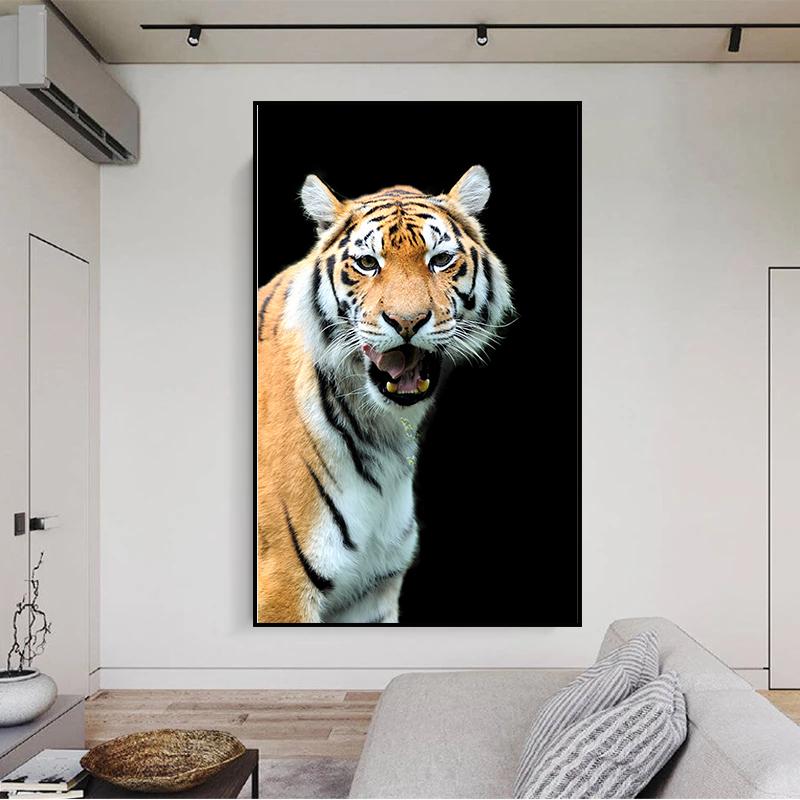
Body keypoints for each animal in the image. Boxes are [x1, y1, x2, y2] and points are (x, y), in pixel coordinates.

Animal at [256, 165, 513, 623]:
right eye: (367, 263)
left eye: (440, 260)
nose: (406, 321)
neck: (383, 433)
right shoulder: (282, 585)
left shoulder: (371, 590)